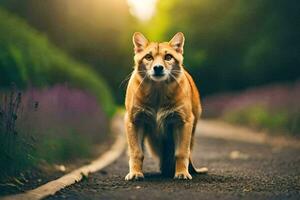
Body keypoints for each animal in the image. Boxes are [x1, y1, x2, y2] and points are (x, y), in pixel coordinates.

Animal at [123, 32, 206, 180]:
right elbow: (136, 151)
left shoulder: (183, 121)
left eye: (168, 57)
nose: (158, 68)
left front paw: (181, 173)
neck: (158, 93)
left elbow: (181, 152)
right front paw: (135, 173)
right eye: (148, 57)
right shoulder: (134, 120)